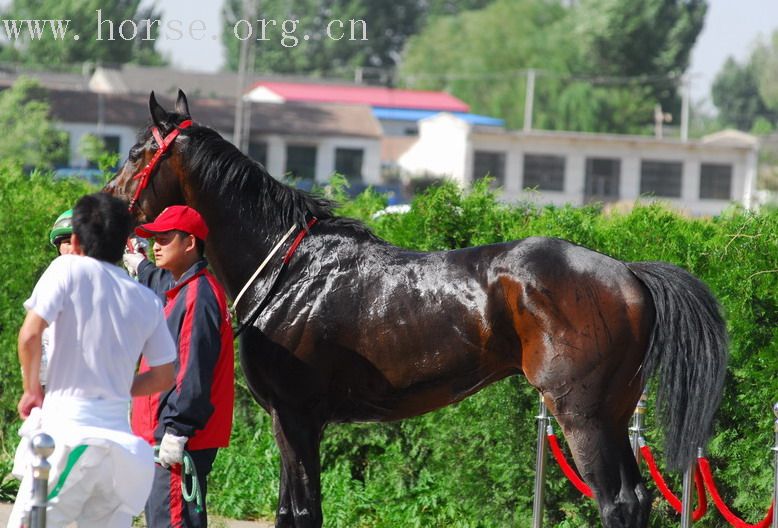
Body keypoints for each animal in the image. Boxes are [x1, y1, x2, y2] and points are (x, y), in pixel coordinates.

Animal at [104, 92, 728, 528]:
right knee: (636, 499)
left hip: (582, 415)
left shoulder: (295, 417)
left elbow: (302, 512)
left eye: (136, 153)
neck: (288, 267)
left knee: (616, 502)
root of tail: (628, 273)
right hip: (615, 413)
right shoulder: (297, 422)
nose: (104, 207)